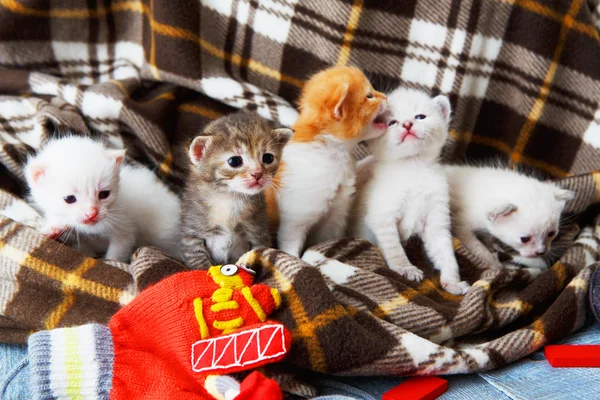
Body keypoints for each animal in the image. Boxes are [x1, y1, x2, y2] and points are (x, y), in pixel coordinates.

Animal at [25, 137, 180, 262]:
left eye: (104, 194)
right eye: (69, 198)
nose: (92, 213)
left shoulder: (124, 228)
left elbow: (118, 251)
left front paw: (112, 262)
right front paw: (52, 229)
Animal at [182, 112, 292, 268]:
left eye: (268, 158)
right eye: (234, 161)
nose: (257, 174)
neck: (229, 199)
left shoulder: (259, 235)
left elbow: (255, 255)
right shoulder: (192, 236)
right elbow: (198, 261)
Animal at [264, 65, 386, 256]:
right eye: (369, 96)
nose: (386, 97)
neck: (333, 152)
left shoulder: (334, 216)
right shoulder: (295, 220)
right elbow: (291, 248)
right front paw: (296, 258)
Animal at [352, 89, 468, 296]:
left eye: (420, 117)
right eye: (392, 122)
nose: (407, 124)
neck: (413, 167)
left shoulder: (436, 222)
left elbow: (447, 255)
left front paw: (452, 282)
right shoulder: (381, 217)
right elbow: (395, 248)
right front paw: (406, 268)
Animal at [442, 164, 576, 270]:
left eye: (551, 234)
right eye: (524, 239)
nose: (541, 252)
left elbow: (487, 238)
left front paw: (493, 247)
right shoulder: (461, 225)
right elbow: (477, 247)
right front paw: (495, 263)